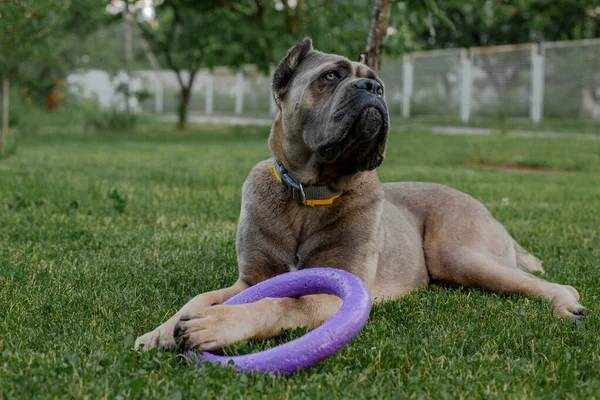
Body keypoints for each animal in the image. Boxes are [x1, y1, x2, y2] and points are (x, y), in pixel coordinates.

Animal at [135, 36, 584, 350]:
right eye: (330, 76)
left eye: (379, 83)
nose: (373, 87)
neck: (311, 194)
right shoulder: (252, 279)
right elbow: (203, 296)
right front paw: (162, 330)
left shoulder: (336, 290)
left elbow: (279, 303)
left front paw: (216, 326)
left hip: (459, 254)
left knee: (552, 284)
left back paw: (567, 305)